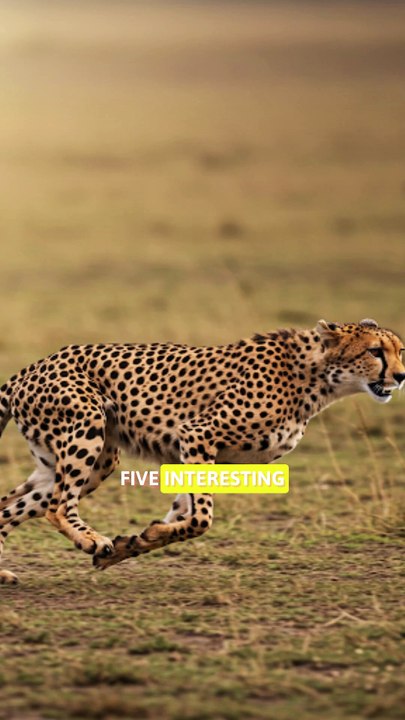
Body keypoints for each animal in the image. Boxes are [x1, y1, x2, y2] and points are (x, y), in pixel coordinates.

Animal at [0, 318, 404, 585]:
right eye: (375, 351)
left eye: (400, 351)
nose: (400, 376)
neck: (315, 375)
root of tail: (31, 367)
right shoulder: (196, 434)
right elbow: (202, 519)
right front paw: (131, 542)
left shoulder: (206, 454)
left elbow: (183, 512)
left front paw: (136, 542)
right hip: (87, 428)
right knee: (56, 506)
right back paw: (89, 538)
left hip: (86, 461)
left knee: (9, 508)